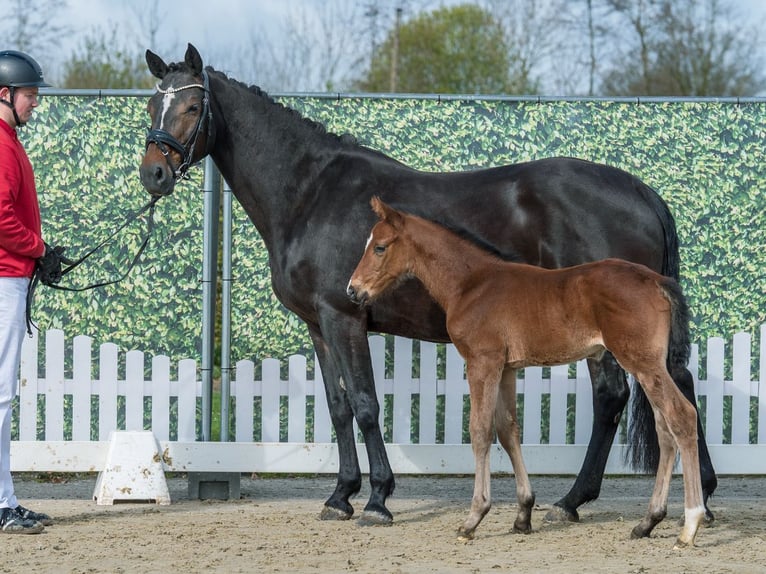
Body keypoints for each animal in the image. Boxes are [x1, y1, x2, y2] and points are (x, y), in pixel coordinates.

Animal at [348, 197, 705, 548]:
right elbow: (508, 431)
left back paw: (690, 524)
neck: (471, 284)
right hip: (649, 365)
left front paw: (474, 518)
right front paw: (523, 514)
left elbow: (480, 431)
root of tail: (657, 281)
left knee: (682, 416)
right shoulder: (506, 369)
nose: (353, 290)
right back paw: (648, 522)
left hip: (642, 362)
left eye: (379, 247)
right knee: (664, 429)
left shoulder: (482, 362)